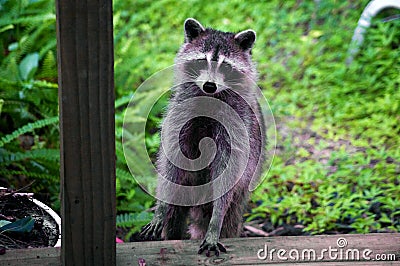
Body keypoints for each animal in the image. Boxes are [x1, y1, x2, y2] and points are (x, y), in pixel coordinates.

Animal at [141, 18, 266, 256]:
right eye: (202, 61)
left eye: (225, 66)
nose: (209, 85)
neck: (210, 97)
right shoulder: (178, 118)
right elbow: (170, 165)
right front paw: (159, 209)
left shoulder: (237, 130)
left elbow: (227, 175)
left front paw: (215, 225)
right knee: (174, 213)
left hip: (242, 192)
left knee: (230, 217)